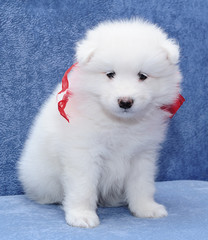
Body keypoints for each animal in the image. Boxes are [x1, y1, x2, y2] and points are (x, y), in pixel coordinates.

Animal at [17, 18, 182, 227]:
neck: (120, 122)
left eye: (142, 76)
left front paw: (146, 208)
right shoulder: (83, 153)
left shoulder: (142, 154)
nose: (125, 101)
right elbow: (83, 187)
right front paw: (81, 215)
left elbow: (142, 184)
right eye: (110, 74)